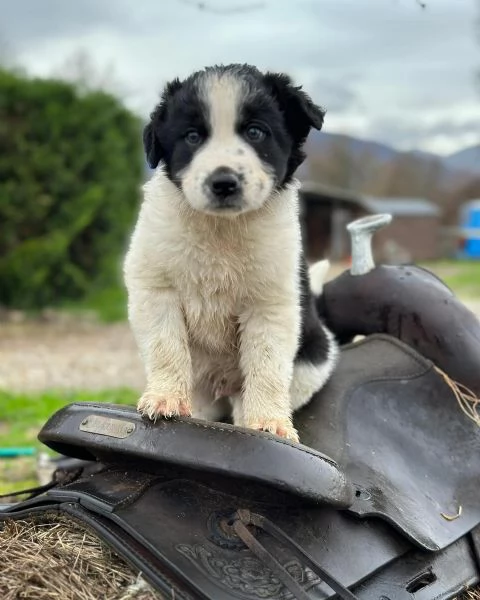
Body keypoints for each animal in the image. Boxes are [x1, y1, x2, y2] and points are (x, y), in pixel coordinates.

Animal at [125, 64, 340, 440]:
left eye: (256, 132)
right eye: (192, 137)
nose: (223, 182)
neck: (221, 231)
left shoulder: (270, 305)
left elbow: (267, 366)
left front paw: (269, 423)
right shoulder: (154, 286)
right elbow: (166, 347)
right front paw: (165, 398)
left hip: (313, 359)